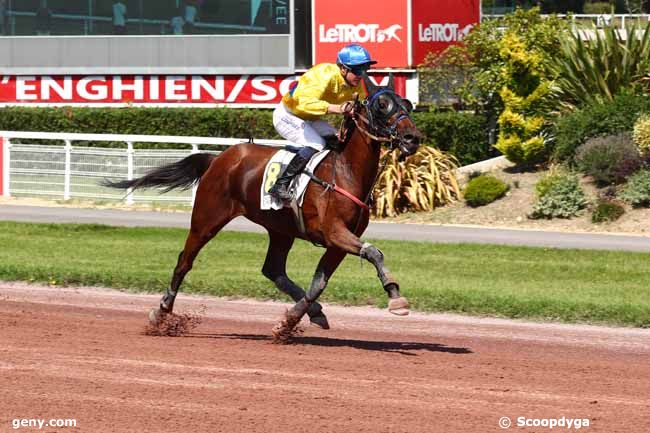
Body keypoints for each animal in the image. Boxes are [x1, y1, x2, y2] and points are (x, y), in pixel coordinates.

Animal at [104, 73, 422, 338]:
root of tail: (219, 158)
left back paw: (312, 312)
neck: (345, 172)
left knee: (272, 269)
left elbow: (319, 283)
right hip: (207, 218)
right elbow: (374, 252)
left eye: (407, 104)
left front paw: (290, 322)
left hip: (281, 229)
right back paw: (161, 312)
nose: (412, 138)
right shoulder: (334, 232)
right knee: (185, 261)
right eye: (381, 105)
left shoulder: (337, 242)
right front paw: (396, 297)